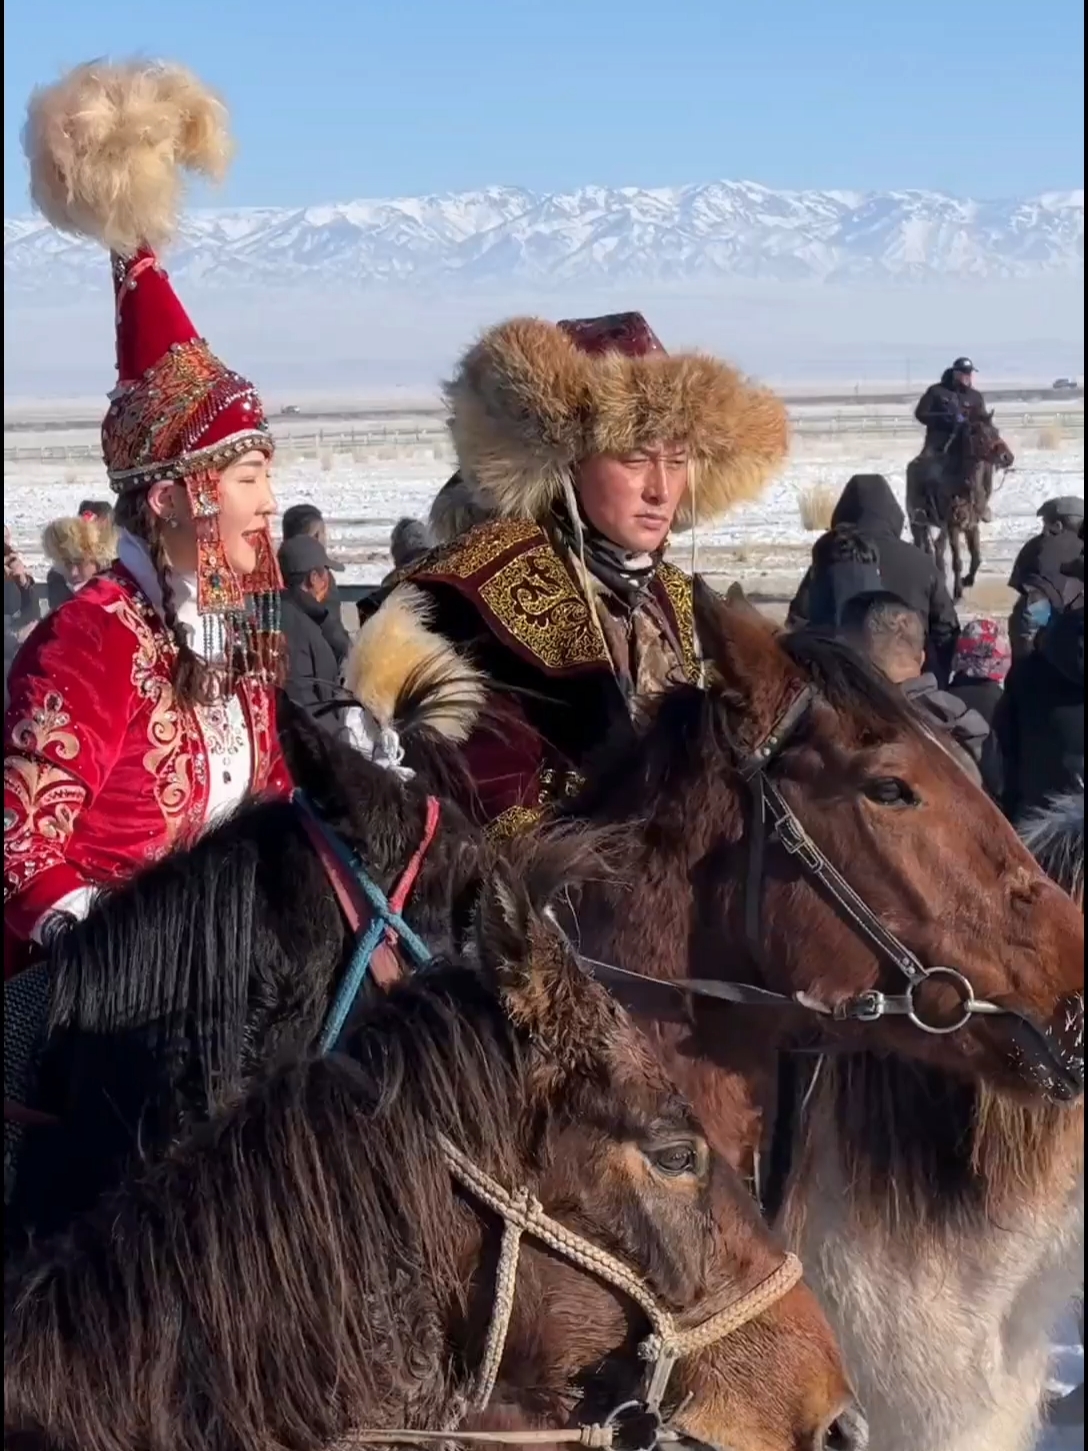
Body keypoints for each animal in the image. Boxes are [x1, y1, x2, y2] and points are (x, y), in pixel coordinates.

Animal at [905, 414, 1021, 600]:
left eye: (996, 431)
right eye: (982, 436)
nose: (1007, 457)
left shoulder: (971, 526)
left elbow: (976, 557)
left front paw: (967, 580)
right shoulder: (953, 527)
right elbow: (957, 561)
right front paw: (958, 591)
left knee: (937, 548)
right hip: (917, 523)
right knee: (924, 546)